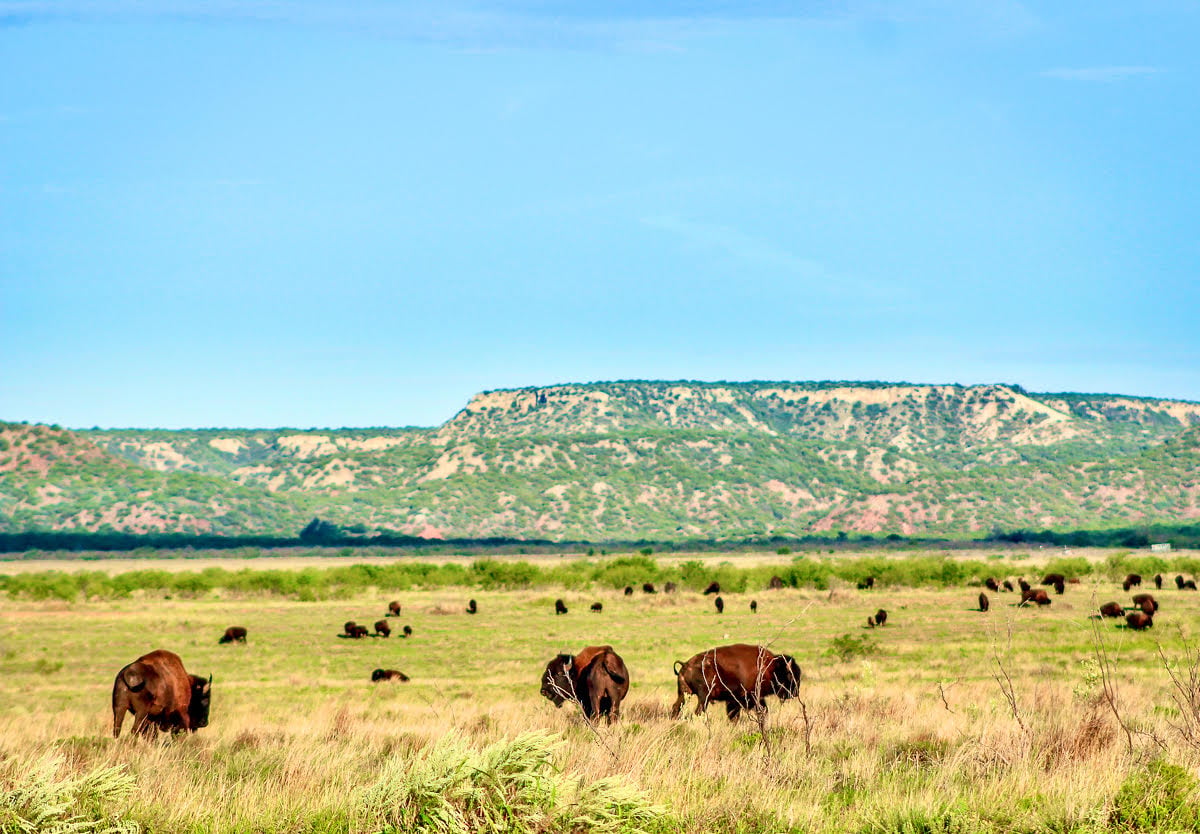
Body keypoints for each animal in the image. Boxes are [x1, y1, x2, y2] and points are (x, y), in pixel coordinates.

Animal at [671, 644, 802, 722]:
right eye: (790, 675)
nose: (795, 693)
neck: (771, 667)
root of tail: (685, 664)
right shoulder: (745, 698)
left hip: (683, 693)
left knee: (676, 707)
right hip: (704, 697)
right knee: (698, 711)